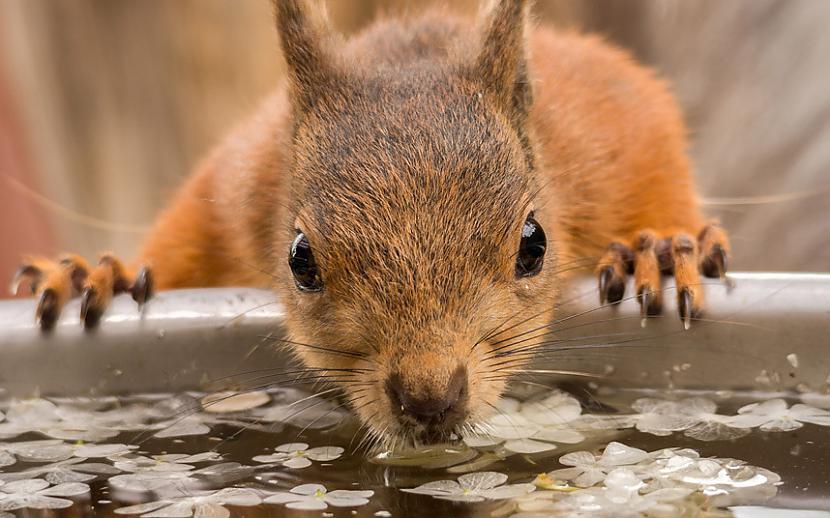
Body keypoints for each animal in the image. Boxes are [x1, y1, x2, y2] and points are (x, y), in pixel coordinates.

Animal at [13, 1, 728, 446]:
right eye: (300, 260)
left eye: (534, 244)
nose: (430, 399)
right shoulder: (226, 192)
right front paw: (93, 277)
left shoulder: (627, 139)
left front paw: (658, 251)